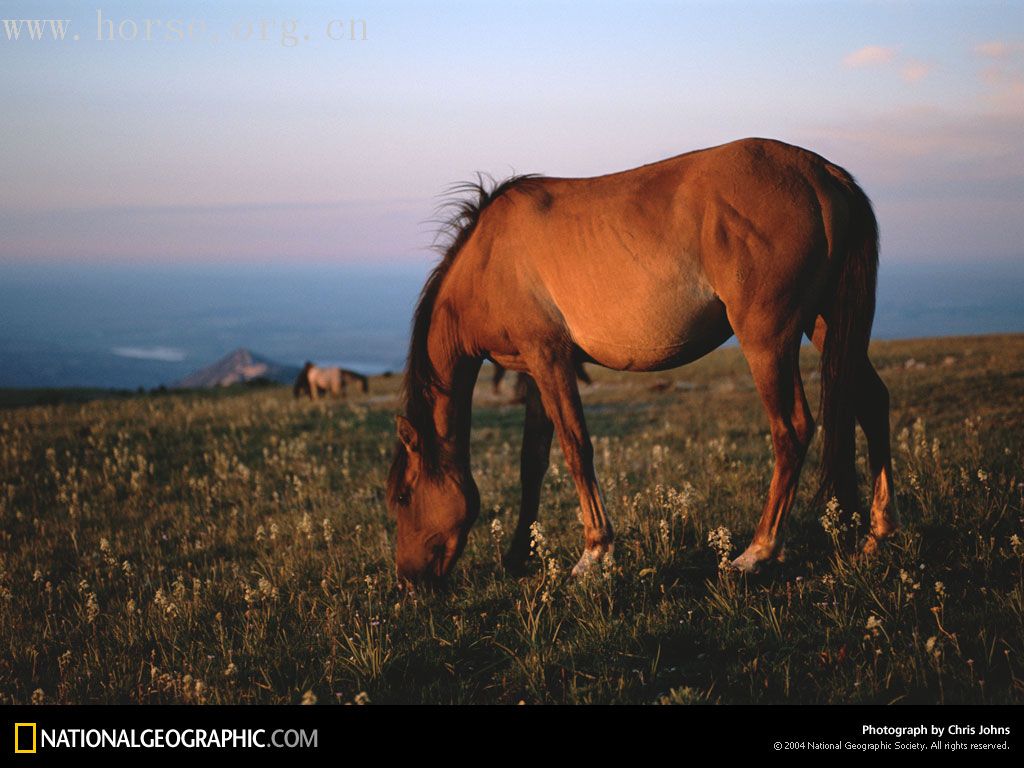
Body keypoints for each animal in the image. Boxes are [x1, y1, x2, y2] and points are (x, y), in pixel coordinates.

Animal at [387, 138, 901, 581]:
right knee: (872, 402)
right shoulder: (534, 370)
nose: (410, 580)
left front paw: (594, 553)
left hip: (767, 338)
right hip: (828, 324)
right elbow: (532, 460)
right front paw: (517, 556)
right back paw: (878, 535)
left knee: (792, 429)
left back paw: (757, 552)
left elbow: (577, 448)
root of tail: (822, 173)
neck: (490, 259)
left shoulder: (550, 359)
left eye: (402, 497)